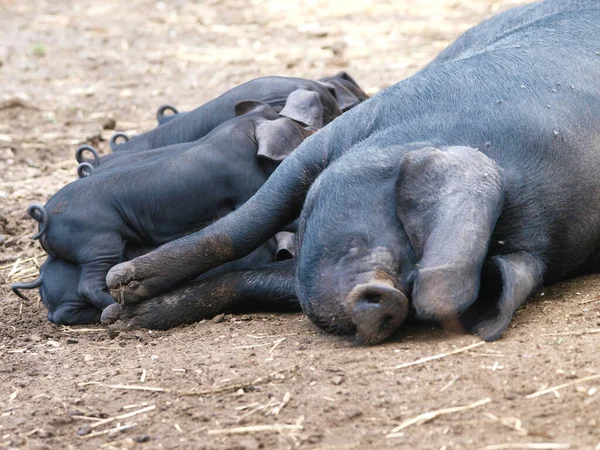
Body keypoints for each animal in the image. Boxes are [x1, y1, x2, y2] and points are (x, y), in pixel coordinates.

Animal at [105, 1, 600, 342]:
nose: (390, 297)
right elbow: (240, 227)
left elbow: (253, 279)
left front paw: (123, 317)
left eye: (415, 279)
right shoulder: (328, 142)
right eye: (407, 224)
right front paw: (121, 291)